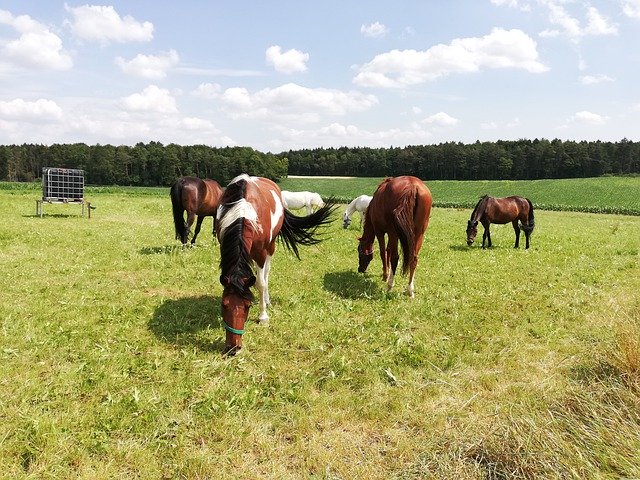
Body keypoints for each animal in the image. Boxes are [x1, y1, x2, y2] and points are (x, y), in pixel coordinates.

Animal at [215, 174, 336, 354]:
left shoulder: (261, 253)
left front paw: (263, 315)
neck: (242, 209)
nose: (233, 348)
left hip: (270, 247)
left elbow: (261, 283)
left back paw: (266, 300)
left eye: (247, 306)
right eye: (224, 305)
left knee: (265, 274)